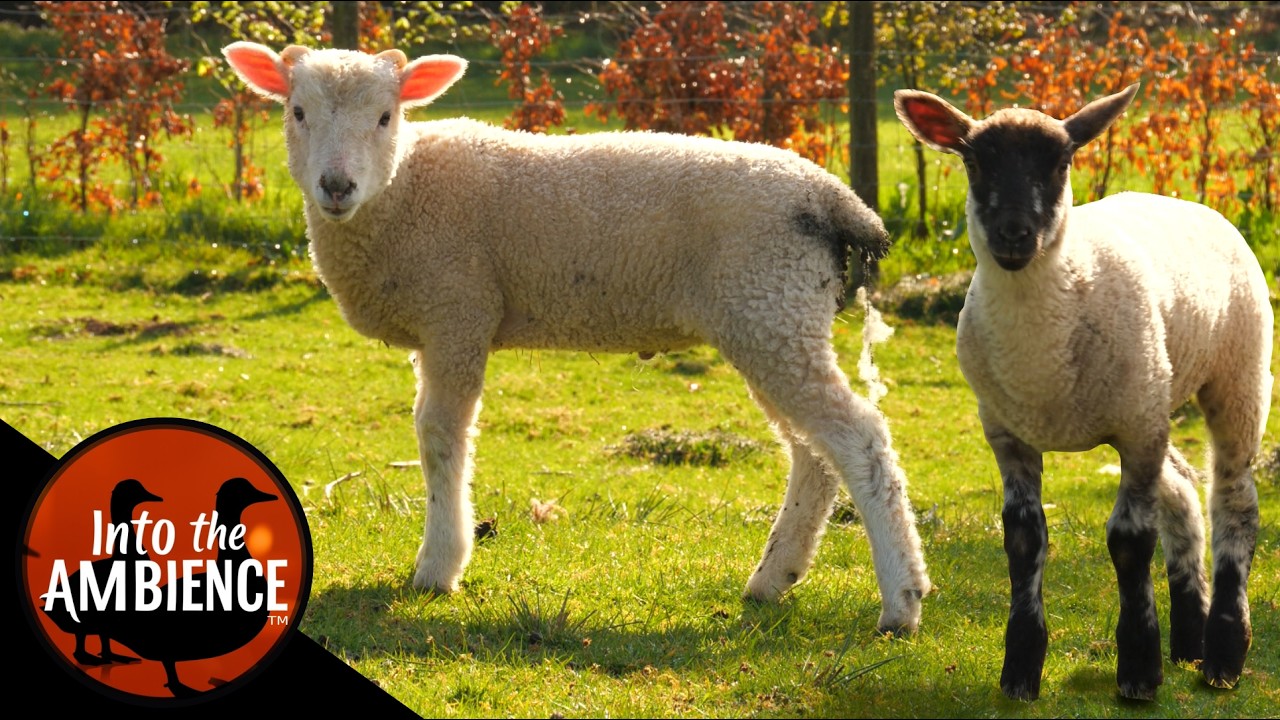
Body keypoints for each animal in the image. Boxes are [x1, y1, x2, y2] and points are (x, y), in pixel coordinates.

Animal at [221, 42, 932, 634]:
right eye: (297, 112)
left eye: (386, 117)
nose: (336, 186)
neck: (401, 191)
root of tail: (838, 200)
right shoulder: (444, 320)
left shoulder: (458, 311)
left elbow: (440, 436)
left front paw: (438, 567)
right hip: (773, 316)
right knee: (813, 453)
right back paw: (773, 578)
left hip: (771, 306)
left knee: (857, 436)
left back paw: (901, 602)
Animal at [894, 83, 1273, 700]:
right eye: (974, 162)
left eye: (1061, 162)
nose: (1014, 234)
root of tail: (1185, 202)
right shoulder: (1008, 434)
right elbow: (1023, 541)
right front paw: (1021, 670)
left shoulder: (1136, 431)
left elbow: (1129, 541)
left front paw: (1139, 671)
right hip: (1156, 393)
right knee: (1183, 488)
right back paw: (1189, 638)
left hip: (1235, 376)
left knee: (1234, 500)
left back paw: (1222, 654)